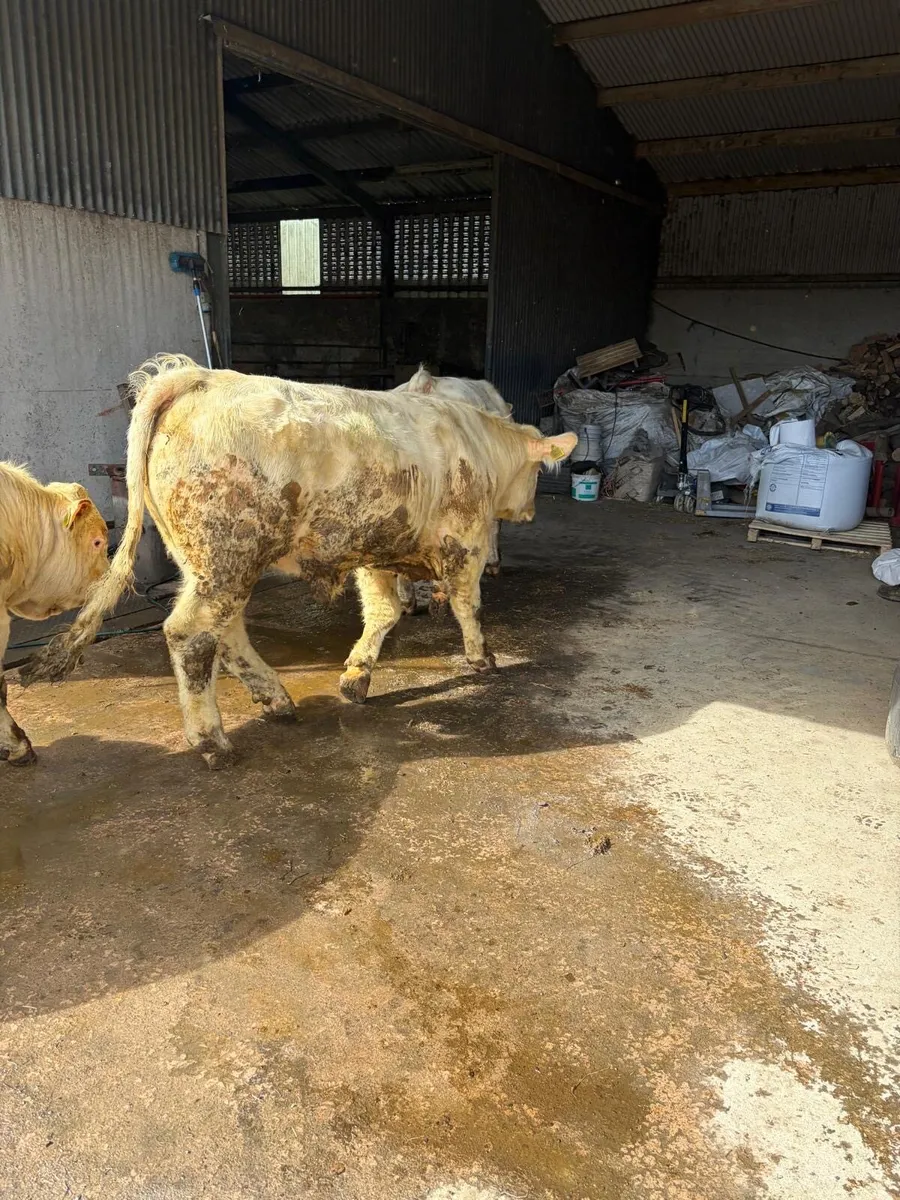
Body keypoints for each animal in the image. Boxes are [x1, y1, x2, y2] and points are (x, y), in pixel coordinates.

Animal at [21, 355, 576, 769]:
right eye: (535, 472)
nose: (529, 509)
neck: (477, 443)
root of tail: (197, 378)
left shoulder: (377, 549)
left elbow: (383, 613)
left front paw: (356, 677)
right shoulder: (464, 543)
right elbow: (468, 605)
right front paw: (483, 659)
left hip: (208, 565)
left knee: (227, 633)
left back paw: (276, 700)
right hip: (229, 557)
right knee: (191, 635)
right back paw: (212, 740)